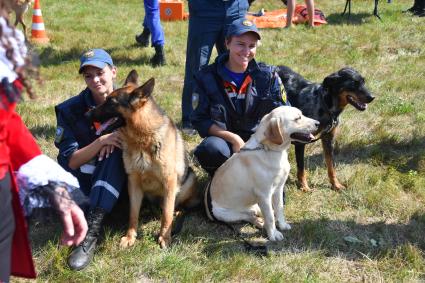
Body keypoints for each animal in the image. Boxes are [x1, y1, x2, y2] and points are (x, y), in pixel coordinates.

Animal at [87, 70, 199, 248]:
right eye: (106, 99)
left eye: (111, 102)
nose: (87, 114)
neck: (143, 139)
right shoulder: (133, 182)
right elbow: (133, 213)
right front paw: (130, 237)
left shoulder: (169, 181)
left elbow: (167, 214)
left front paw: (164, 237)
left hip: (188, 180)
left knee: (176, 205)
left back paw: (177, 211)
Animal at [205, 106, 318, 242]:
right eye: (297, 118)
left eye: (302, 114)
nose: (318, 123)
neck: (271, 150)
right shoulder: (264, 194)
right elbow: (270, 218)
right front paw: (273, 235)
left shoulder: (278, 189)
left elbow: (279, 209)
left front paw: (282, 225)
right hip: (227, 214)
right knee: (249, 217)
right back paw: (260, 223)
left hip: (256, 205)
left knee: (256, 214)